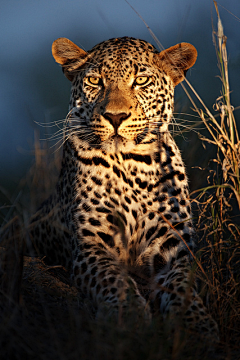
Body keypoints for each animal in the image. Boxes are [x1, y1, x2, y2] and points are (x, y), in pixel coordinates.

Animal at [29, 36, 218, 344]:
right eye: (95, 80)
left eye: (141, 80)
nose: (115, 117)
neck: (131, 165)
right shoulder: (91, 245)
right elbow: (115, 280)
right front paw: (129, 316)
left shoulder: (174, 246)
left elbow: (183, 286)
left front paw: (199, 326)